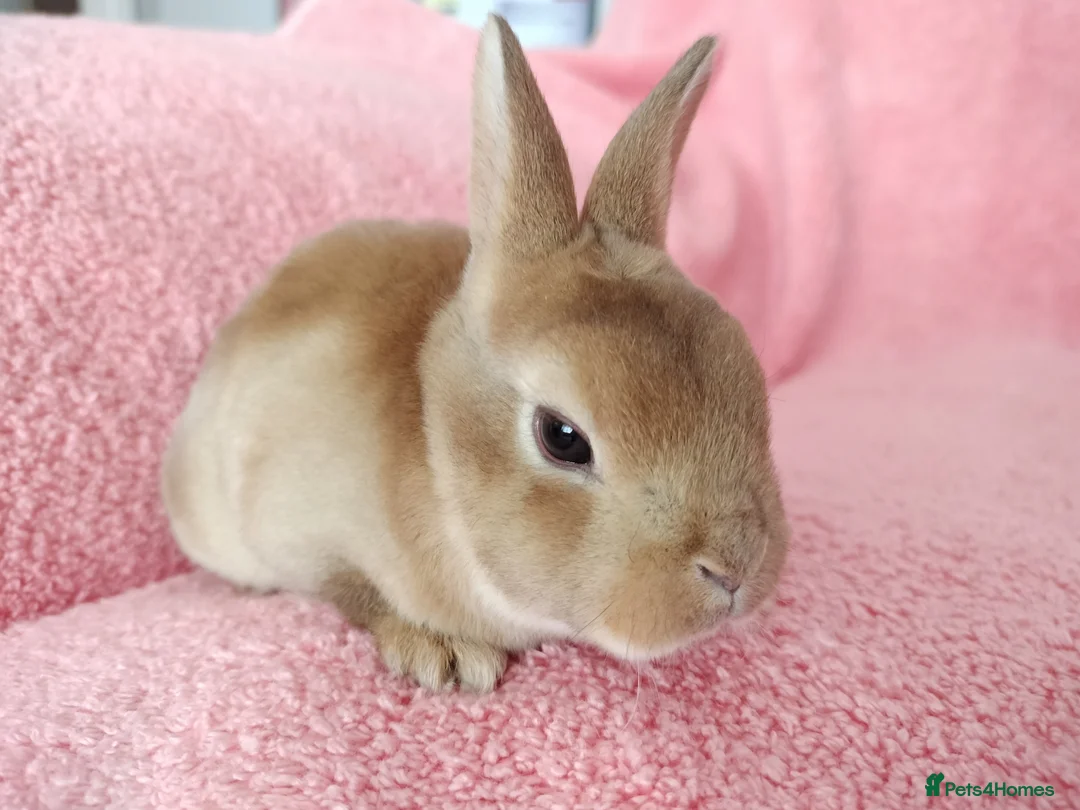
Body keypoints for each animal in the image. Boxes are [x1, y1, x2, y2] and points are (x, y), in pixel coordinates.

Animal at [161, 14, 790, 693]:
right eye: (562, 437)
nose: (735, 565)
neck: (437, 455)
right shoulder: (306, 533)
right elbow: (355, 593)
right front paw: (448, 657)